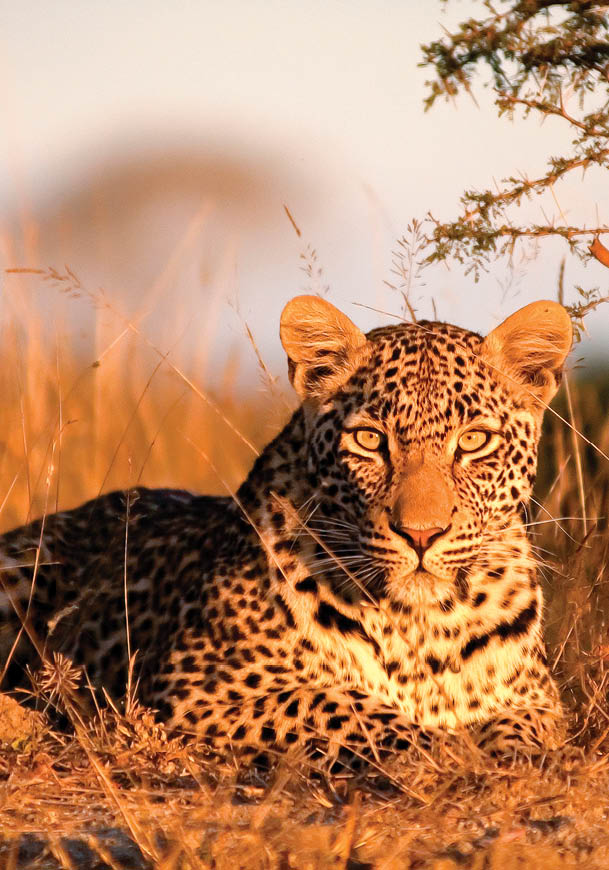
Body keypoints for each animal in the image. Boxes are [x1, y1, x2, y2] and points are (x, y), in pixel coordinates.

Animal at [0, 295, 573, 765]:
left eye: (474, 441)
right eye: (369, 440)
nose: (421, 534)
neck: (421, 629)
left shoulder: (537, 698)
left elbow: (529, 729)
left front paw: (512, 754)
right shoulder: (197, 690)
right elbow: (345, 706)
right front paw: (447, 751)